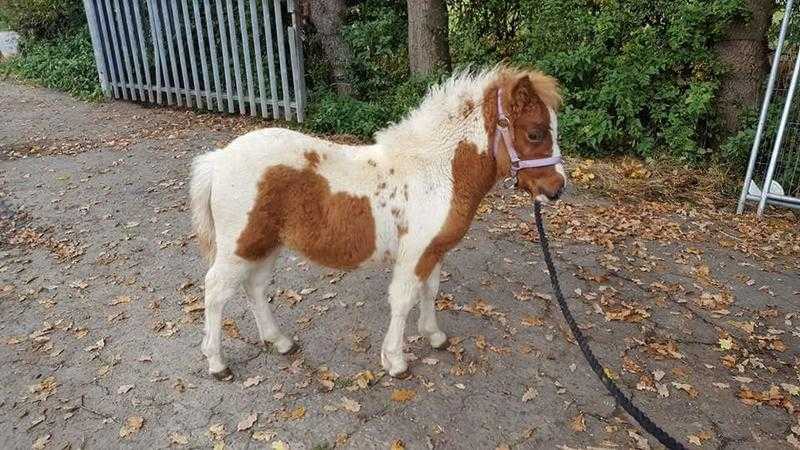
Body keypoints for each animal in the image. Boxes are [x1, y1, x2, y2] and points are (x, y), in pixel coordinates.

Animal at [190, 65, 564, 378]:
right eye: (535, 133)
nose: (557, 189)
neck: (437, 172)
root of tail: (220, 159)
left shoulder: (434, 251)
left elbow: (430, 290)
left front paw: (433, 335)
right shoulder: (414, 254)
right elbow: (403, 299)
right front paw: (395, 361)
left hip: (266, 245)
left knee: (254, 287)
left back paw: (280, 341)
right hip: (239, 247)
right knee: (215, 291)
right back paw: (217, 363)